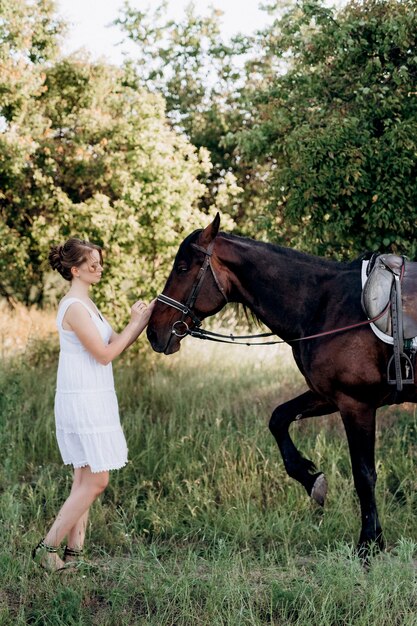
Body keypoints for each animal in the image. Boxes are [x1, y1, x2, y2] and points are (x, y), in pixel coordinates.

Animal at [145, 213, 412, 552]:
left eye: (182, 268)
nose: (153, 332)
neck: (326, 304)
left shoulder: (356, 404)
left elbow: (364, 474)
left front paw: (369, 542)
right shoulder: (327, 396)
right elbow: (278, 419)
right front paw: (311, 480)